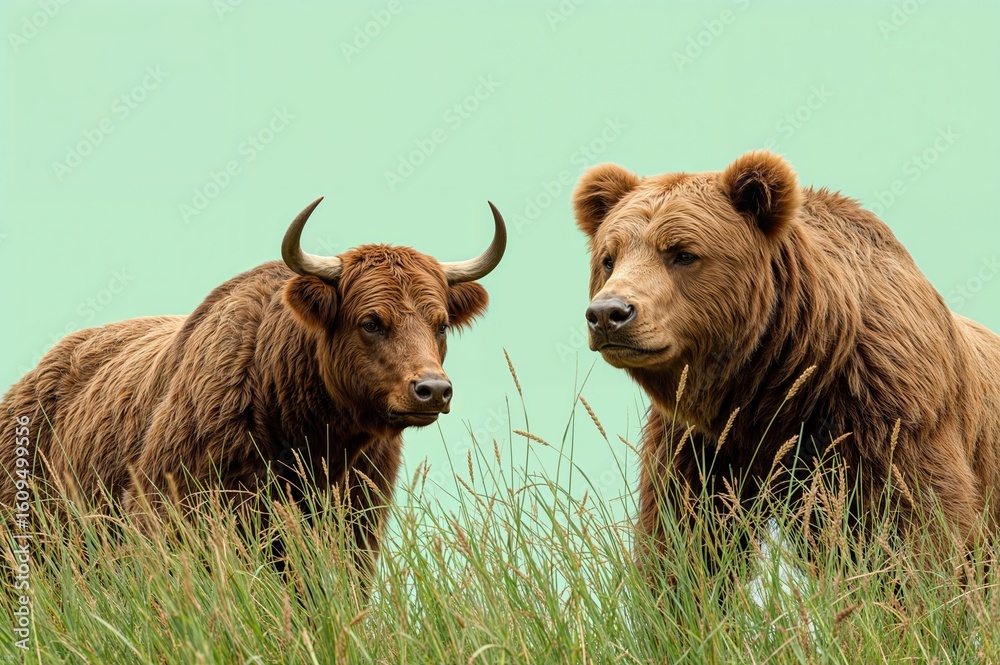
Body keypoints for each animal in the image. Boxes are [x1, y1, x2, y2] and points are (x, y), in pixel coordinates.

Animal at [572, 149, 1000, 580]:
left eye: (682, 253)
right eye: (609, 258)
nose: (609, 313)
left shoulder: (887, 410)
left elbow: (915, 527)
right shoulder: (700, 443)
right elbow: (685, 539)